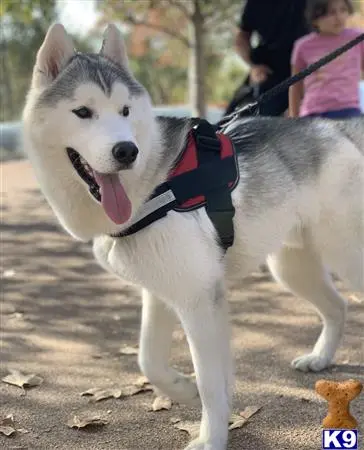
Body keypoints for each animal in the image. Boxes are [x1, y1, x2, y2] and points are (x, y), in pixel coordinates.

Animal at [24, 24, 362, 450]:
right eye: (82, 112)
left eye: (125, 111)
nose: (126, 151)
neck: (154, 184)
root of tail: (337, 129)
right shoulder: (163, 292)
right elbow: (150, 361)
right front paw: (184, 391)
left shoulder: (199, 300)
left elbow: (211, 382)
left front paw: (211, 437)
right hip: (292, 266)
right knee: (338, 306)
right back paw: (320, 357)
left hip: (347, 255)